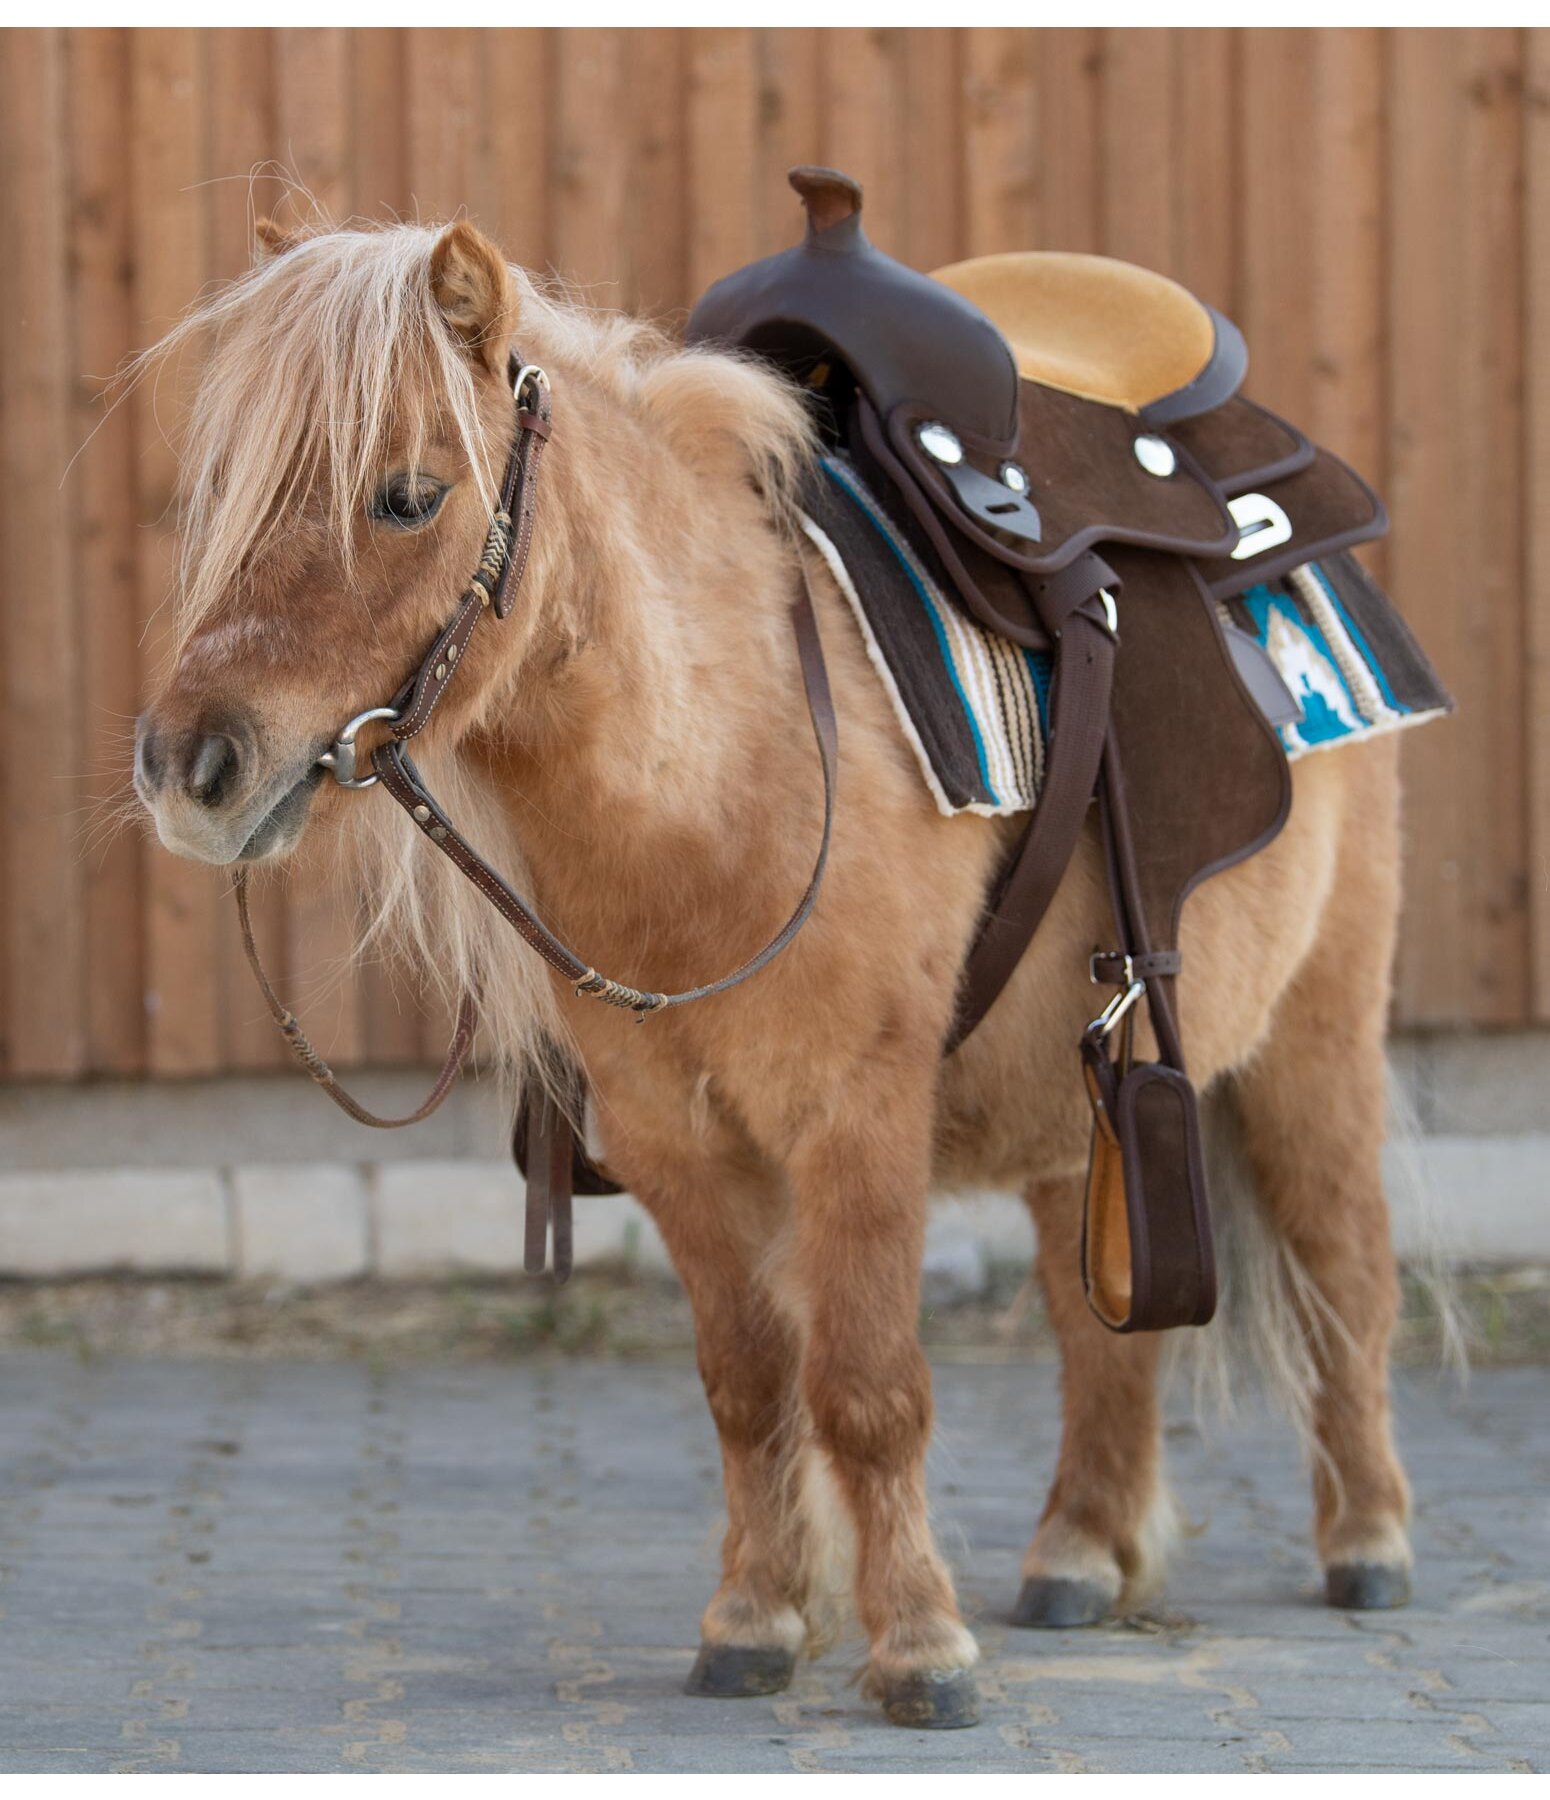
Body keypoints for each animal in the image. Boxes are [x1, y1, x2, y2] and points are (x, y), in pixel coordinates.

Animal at [135, 214, 1418, 1728]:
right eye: (225, 494)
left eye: (405, 497)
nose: (189, 768)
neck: (733, 754)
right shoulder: (674, 1140)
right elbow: (750, 1385)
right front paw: (755, 1621)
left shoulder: (854, 1116)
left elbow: (865, 1386)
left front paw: (917, 1646)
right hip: (1083, 1099)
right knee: (1100, 1320)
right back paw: (1080, 1554)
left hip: (1314, 1040)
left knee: (1345, 1270)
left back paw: (1366, 1543)